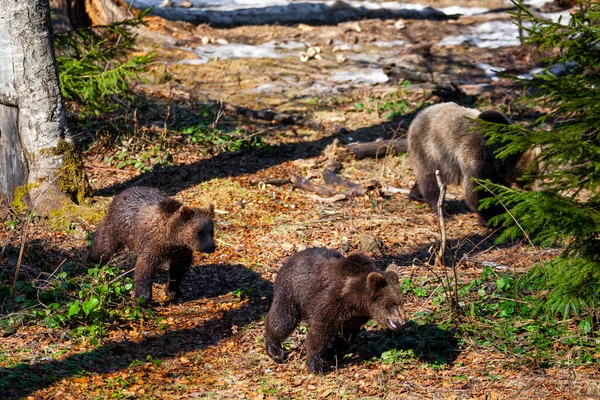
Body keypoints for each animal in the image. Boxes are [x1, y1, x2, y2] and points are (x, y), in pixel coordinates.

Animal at [264, 247, 408, 376]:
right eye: (393, 304)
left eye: (401, 302)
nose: (402, 321)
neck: (356, 300)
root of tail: (290, 259)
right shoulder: (330, 302)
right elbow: (319, 332)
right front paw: (316, 365)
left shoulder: (353, 317)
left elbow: (346, 337)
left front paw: (332, 354)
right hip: (291, 291)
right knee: (283, 319)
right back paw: (275, 350)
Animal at [408, 101, 540, 227]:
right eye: (533, 173)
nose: (538, 190)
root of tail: (418, 115)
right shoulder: (477, 157)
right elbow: (479, 192)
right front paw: (491, 220)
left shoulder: (497, 171)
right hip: (430, 149)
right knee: (430, 179)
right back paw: (441, 211)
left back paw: (416, 195)